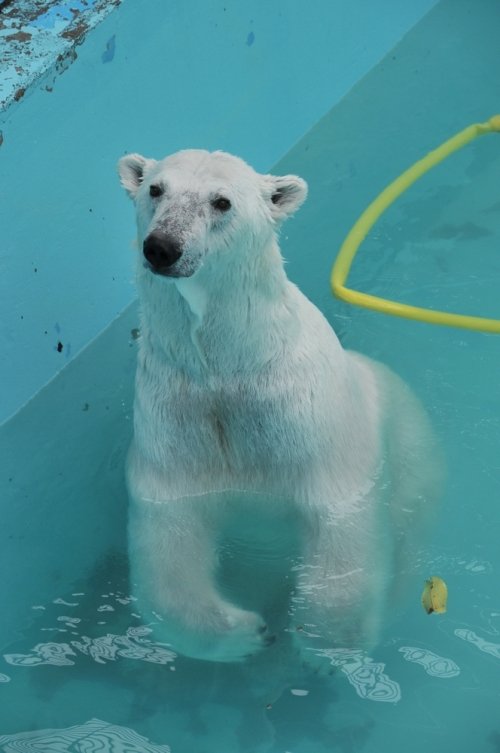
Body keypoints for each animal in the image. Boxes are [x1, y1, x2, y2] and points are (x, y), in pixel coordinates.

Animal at [118, 148, 442, 664]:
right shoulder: (177, 422)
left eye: (222, 201)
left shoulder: (309, 427)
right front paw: (248, 632)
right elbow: (171, 537)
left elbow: (339, 524)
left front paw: (322, 642)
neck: (231, 368)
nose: (162, 247)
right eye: (155, 189)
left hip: (414, 449)